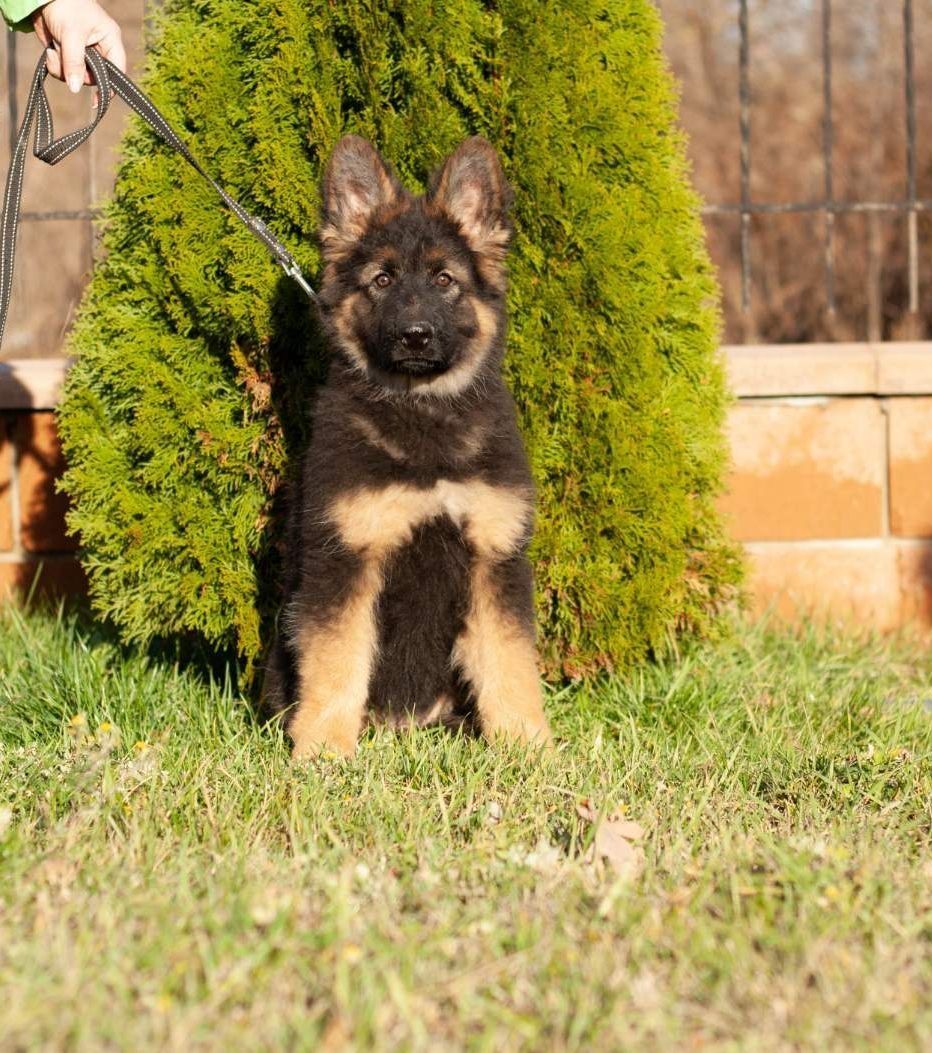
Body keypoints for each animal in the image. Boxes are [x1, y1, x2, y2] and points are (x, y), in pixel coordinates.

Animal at [262, 135, 547, 758]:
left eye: (444, 280)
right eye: (382, 281)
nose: (416, 336)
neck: (422, 413)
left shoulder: (494, 557)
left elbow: (509, 660)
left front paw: (526, 747)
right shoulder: (345, 557)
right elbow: (337, 658)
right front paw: (322, 751)